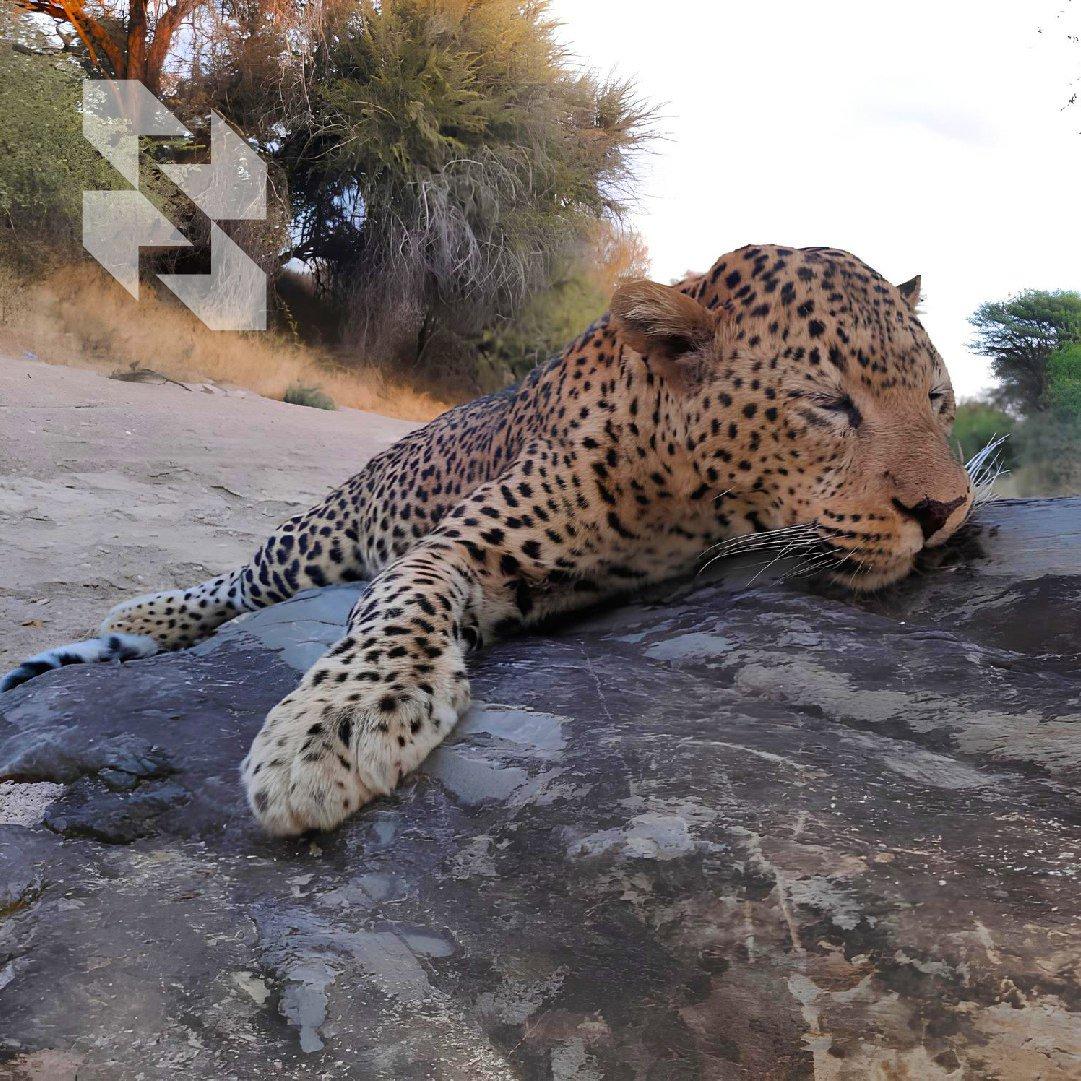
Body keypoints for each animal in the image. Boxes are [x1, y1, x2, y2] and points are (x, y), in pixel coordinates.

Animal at [1, 244, 974, 836]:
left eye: (937, 398)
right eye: (829, 403)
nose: (945, 508)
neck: (689, 497)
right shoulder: (455, 545)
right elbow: (393, 612)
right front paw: (328, 728)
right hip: (315, 538)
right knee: (241, 578)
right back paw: (142, 614)